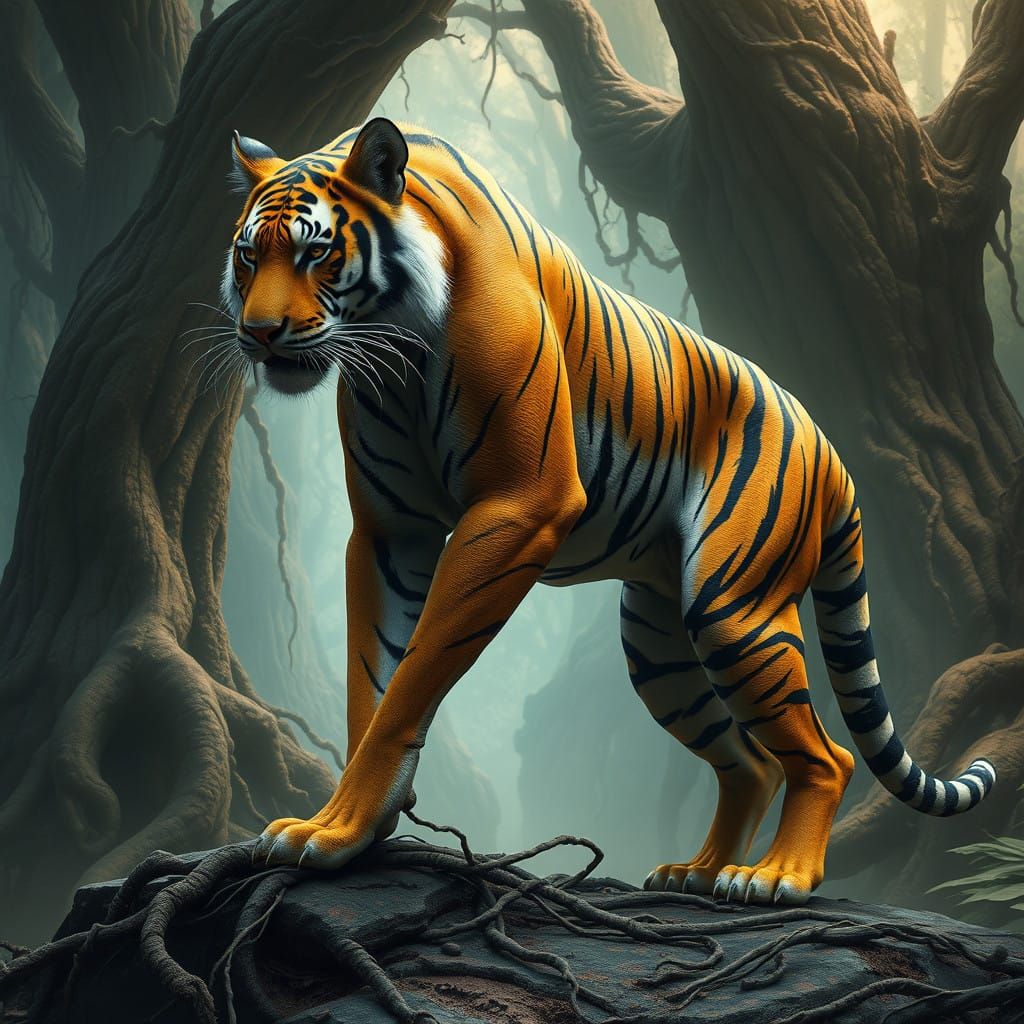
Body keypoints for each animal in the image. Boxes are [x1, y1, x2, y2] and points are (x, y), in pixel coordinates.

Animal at [223, 117, 996, 905]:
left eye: (317, 252)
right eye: (249, 256)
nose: (259, 332)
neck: (394, 348)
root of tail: (829, 448)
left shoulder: (519, 507)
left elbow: (410, 681)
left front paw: (340, 824)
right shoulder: (390, 532)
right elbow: (369, 685)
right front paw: (348, 828)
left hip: (733, 610)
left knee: (825, 756)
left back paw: (776, 876)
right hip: (660, 645)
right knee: (752, 763)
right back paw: (695, 871)